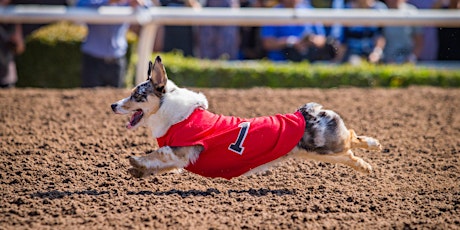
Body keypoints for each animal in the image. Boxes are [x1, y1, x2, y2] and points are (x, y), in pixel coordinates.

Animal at [110, 56, 380, 180]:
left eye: (136, 94)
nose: (113, 105)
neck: (173, 113)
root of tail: (309, 112)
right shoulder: (179, 159)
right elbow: (158, 166)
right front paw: (137, 172)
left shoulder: (180, 150)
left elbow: (155, 154)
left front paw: (135, 161)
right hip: (320, 152)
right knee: (351, 147)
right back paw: (368, 158)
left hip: (326, 147)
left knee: (350, 141)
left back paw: (371, 153)